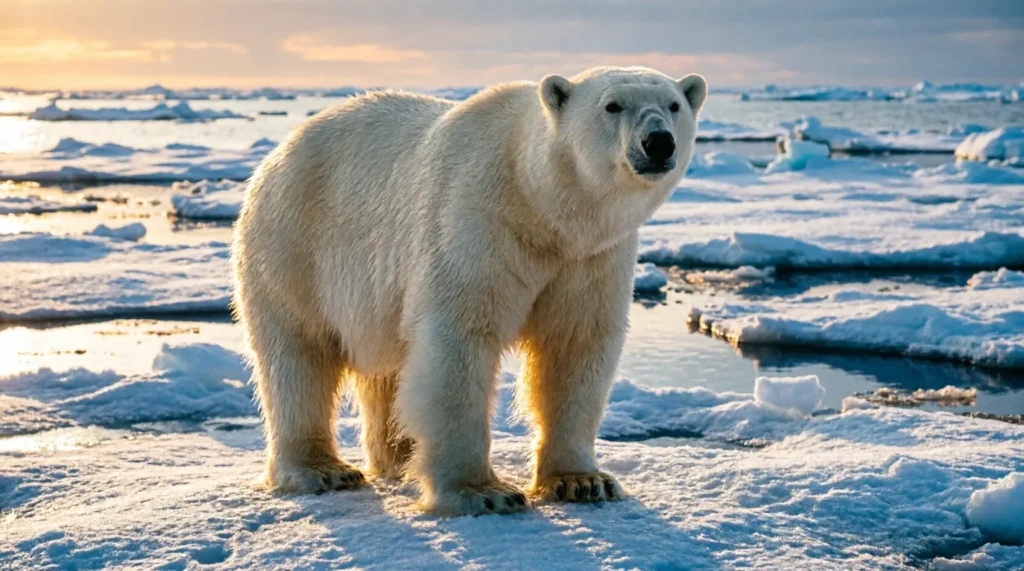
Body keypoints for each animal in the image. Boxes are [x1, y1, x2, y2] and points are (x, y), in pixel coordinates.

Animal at [232, 66, 707, 516]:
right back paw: (321, 469)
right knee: (299, 355)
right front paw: (483, 493)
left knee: (387, 367)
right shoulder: (476, 220)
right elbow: (459, 340)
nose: (658, 142)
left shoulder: (591, 258)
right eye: (612, 105)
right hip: (293, 246)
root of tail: (281, 151)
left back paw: (400, 455)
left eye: (674, 105)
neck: (541, 205)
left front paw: (583, 481)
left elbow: (575, 345)